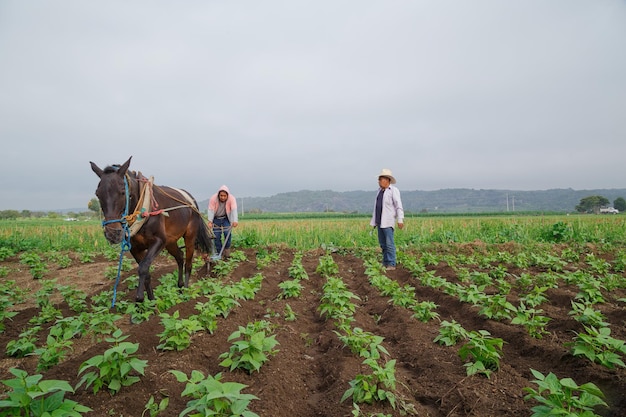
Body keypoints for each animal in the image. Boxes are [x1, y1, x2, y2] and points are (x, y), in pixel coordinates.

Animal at [89, 158, 213, 300]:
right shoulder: (135, 248)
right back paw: (180, 286)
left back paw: (186, 290)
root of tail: (191, 200)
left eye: (122, 192)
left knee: (188, 262)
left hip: (189, 236)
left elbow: (143, 267)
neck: (143, 207)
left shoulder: (159, 241)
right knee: (180, 257)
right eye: (98, 194)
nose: (112, 233)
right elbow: (146, 271)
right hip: (170, 241)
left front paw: (139, 297)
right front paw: (151, 300)